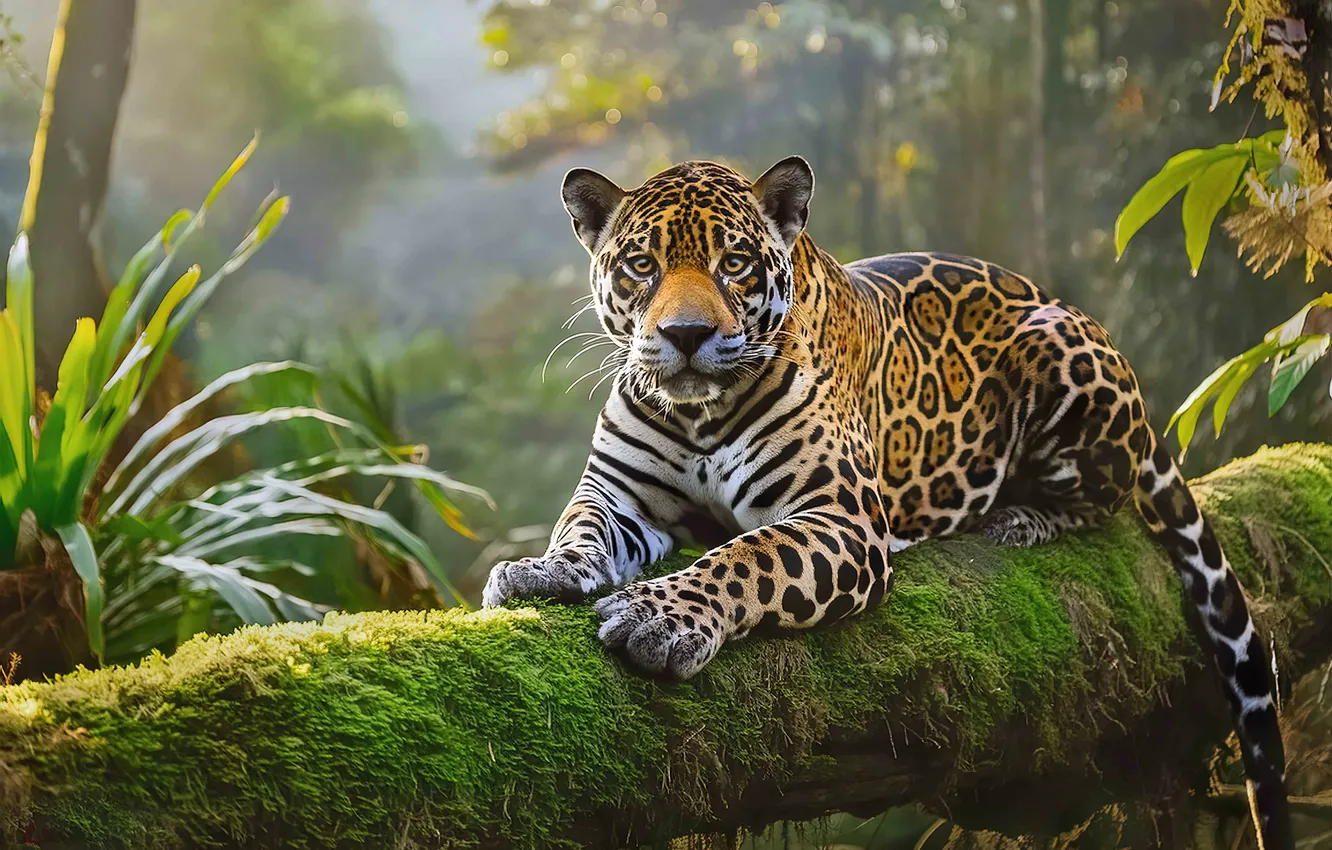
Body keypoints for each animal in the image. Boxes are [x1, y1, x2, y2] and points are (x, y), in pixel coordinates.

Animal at [480, 156, 1292, 848]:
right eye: (642, 266)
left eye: (733, 264)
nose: (685, 335)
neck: (701, 413)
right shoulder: (620, 496)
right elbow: (583, 528)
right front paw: (539, 572)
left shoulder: (840, 518)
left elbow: (745, 557)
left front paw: (660, 617)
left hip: (1063, 355)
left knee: (1106, 494)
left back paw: (1019, 519)